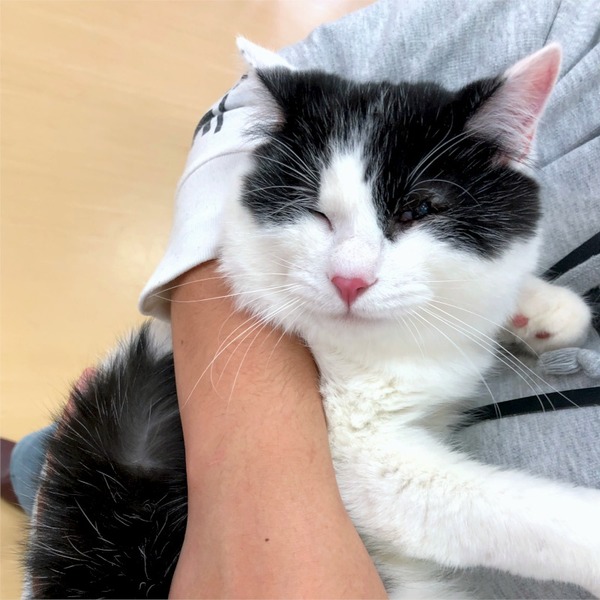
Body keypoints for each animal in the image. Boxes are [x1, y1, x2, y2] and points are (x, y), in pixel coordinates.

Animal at [25, 39, 597, 599]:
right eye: (314, 212)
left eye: (419, 209)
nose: (349, 279)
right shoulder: (360, 461)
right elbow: (498, 510)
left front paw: (542, 308)